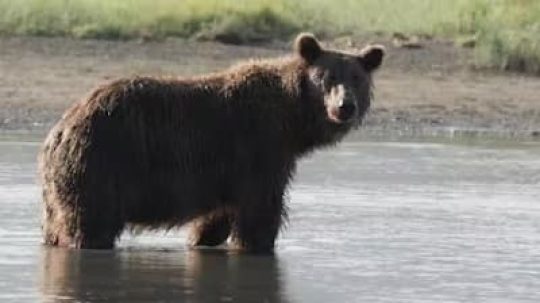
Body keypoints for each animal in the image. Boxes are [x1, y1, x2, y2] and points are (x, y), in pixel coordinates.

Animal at [39, 33, 384, 254]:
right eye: (326, 77)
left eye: (357, 78)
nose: (345, 107)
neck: (293, 119)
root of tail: (60, 128)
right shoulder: (259, 148)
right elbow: (259, 212)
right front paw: (255, 244)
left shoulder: (227, 173)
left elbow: (216, 219)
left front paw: (203, 239)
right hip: (102, 164)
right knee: (90, 223)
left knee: (57, 225)